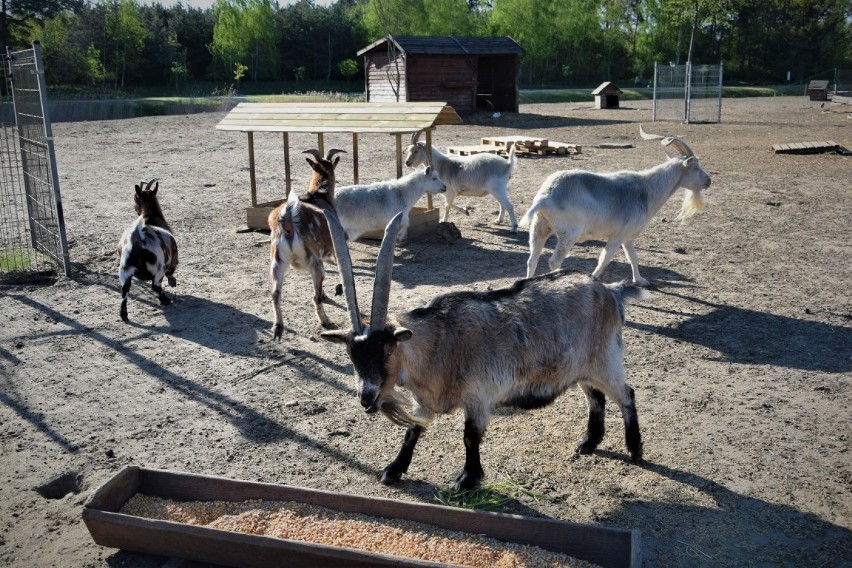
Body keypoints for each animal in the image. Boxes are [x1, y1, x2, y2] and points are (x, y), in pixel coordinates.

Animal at [117, 180, 177, 322]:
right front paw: (172, 282)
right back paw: (165, 300)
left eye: (135, 198)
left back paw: (123, 314)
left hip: (124, 269)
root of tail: (136, 243)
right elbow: (171, 272)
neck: (149, 215)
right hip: (159, 267)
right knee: (155, 285)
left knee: (125, 289)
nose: (136, 209)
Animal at [268, 146, 344, 338]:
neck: (320, 197)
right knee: (315, 296)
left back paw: (278, 327)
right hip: (314, 262)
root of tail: (287, 217)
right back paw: (325, 321)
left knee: (275, 293)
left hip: (277, 261)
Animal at [320, 211, 644, 490]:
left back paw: (635, 449)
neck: (441, 341)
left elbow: (469, 437)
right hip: (582, 369)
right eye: (351, 354)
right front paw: (393, 470)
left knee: (626, 395)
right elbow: (412, 431)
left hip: (606, 361)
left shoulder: (479, 396)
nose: (367, 397)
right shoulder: (424, 402)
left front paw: (467, 480)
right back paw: (588, 443)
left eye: (387, 348)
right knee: (596, 398)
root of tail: (610, 291)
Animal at [520, 136, 712, 286]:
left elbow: (633, 258)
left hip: (539, 228)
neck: (646, 189)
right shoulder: (617, 236)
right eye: (696, 168)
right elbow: (604, 260)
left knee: (531, 260)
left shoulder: (628, 237)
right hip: (568, 234)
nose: (708, 181)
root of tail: (545, 196)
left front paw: (640, 281)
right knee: (554, 262)